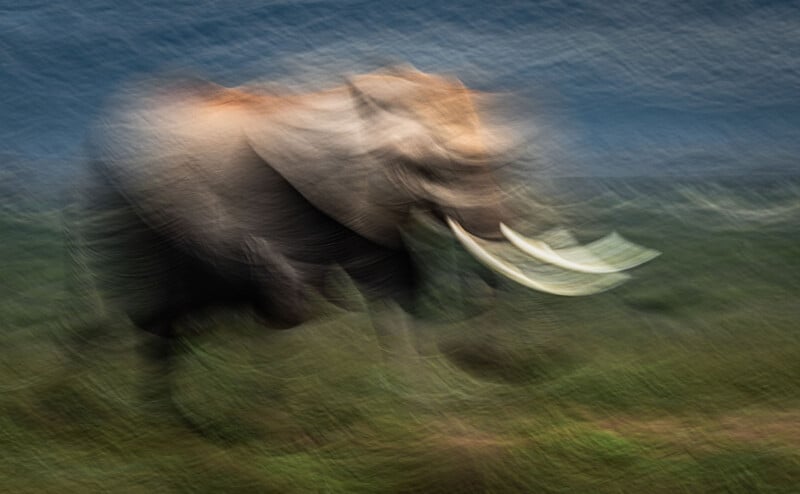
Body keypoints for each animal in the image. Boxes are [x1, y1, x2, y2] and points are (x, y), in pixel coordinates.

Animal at [75, 65, 657, 418]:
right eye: (425, 168)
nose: (481, 349)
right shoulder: (287, 195)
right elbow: (327, 287)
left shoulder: (359, 203)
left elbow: (396, 280)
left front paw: (427, 397)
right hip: (116, 198)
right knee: (155, 297)